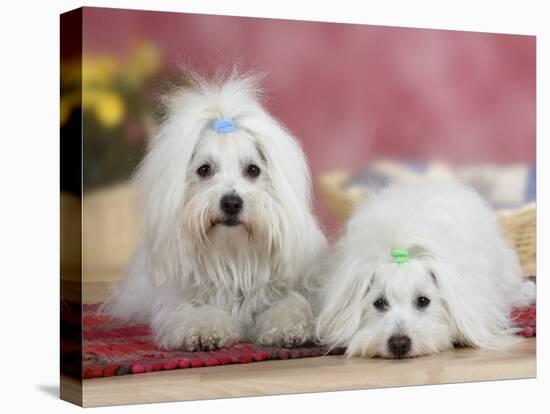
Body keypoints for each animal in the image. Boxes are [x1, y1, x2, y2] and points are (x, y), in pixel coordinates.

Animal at [104, 73, 328, 350]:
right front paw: (204, 332)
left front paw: (291, 329)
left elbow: (291, 305)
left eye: (253, 170)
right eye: (204, 170)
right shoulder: (181, 301)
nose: (231, 202)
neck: (233, 257)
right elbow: (197, 313)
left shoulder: (286, 288)